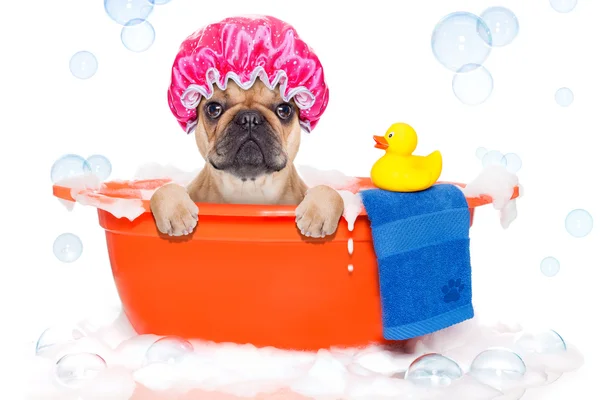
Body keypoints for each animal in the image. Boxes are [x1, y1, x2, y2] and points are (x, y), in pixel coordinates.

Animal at [150, 79, 344, 239]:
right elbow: (164, 190)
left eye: (284, 110)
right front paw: (176, 211)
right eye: (213, 109)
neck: (249, 186)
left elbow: (331, 192)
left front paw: (317, 213)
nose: (249, 117)